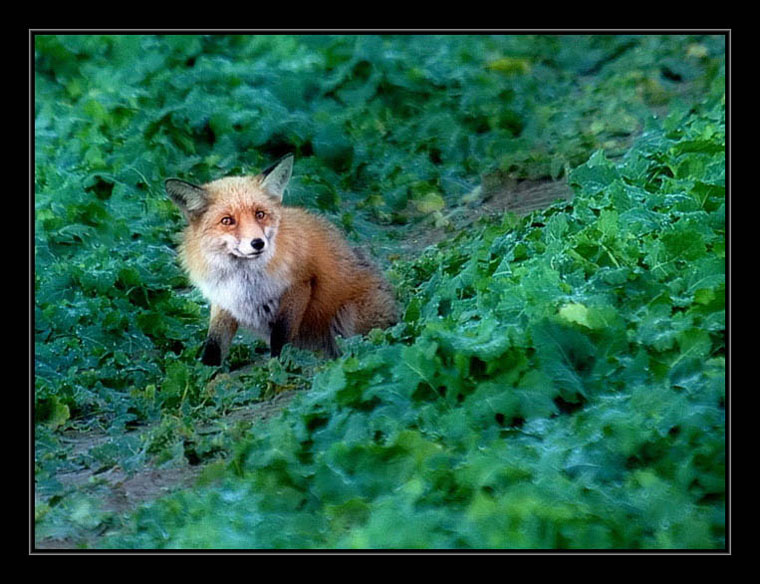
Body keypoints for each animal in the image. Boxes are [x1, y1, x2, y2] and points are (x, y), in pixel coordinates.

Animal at [165, 155, 398, 364]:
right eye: (227, 221)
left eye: (260, 214)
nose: (258, 243)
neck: (245, 279)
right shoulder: (224, 299)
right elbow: (213, 346)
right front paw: (207, 376)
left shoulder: (299, 286)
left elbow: (280, 339)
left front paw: (278, 369)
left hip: (351, 319)